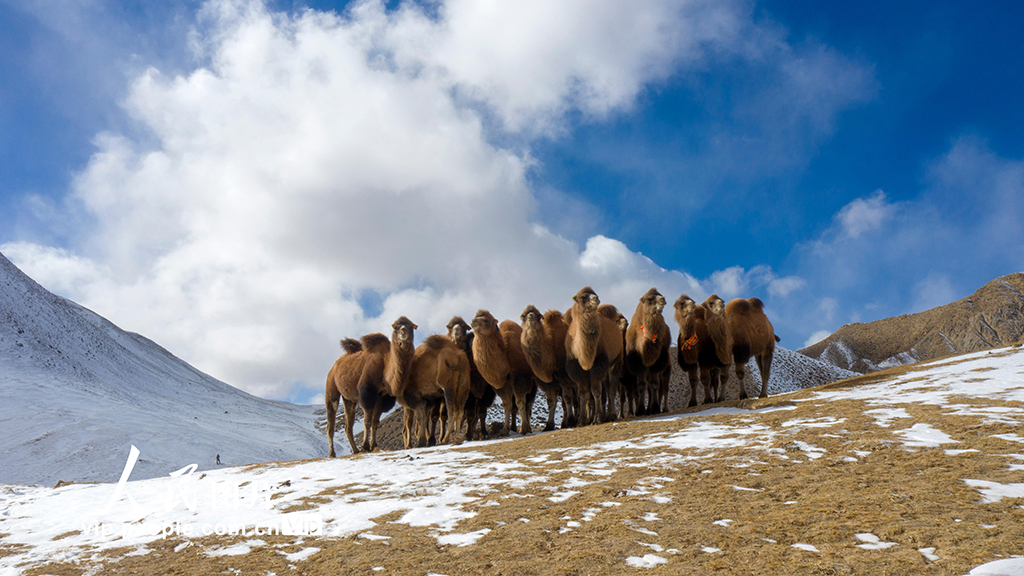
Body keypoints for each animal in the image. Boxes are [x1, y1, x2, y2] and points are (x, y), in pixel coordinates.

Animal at [321, 315, 413, 455]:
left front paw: (373, 445)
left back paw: (355, 450)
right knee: (330, 421)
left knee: (348, 425)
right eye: (396, 327)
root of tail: (334, 365)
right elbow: (367, 421)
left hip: (349, 398)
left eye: (411, 326)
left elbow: (375, 422)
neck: (385, 364)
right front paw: (365, 445)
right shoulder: (368, 392)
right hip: (331, 386)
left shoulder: (383, 396)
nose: (403, 332)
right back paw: (332, 453)